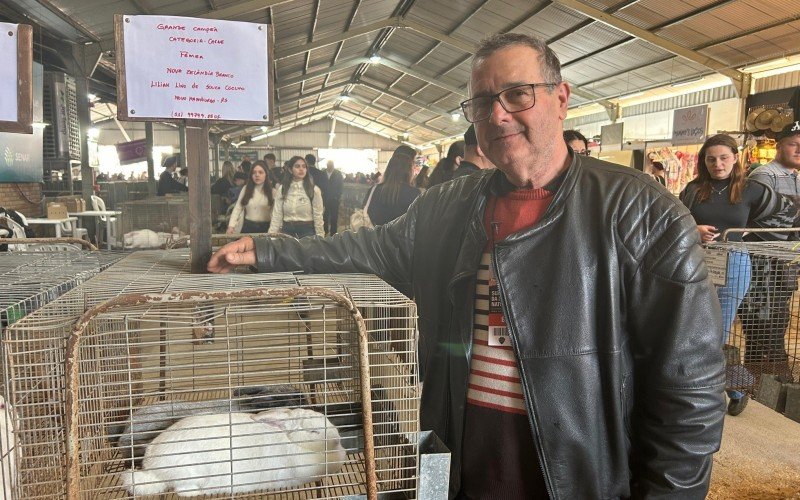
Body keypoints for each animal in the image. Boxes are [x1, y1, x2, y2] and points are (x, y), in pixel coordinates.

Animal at [120, 406, 346, 496]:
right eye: (313, 431)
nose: (337, 439)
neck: (293, 442)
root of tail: (152, 470)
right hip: (189, 474)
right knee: (184, 491)